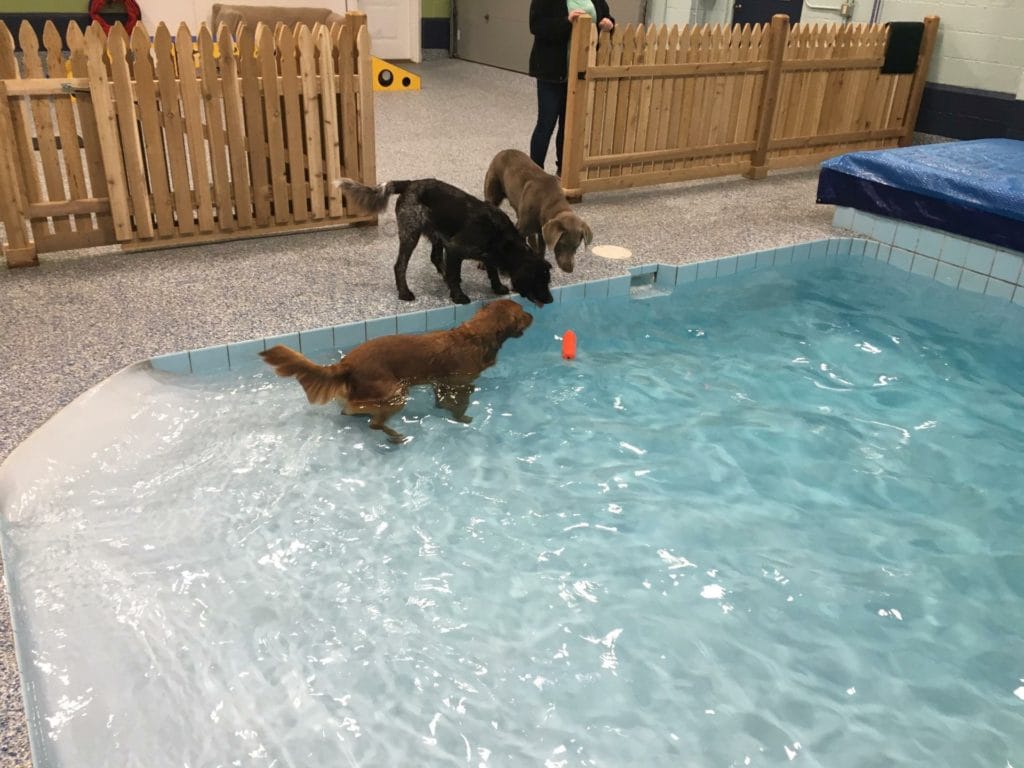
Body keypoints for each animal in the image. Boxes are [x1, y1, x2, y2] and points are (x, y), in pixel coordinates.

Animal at [258, 301, 536, 444]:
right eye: (523, 314)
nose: (533, 314)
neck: (474, 336)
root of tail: (346, 364)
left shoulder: (440, 383)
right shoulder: (459, 384)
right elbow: (459, 406)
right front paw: (463, 419)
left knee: (353, 411)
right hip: (396, 394)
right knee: (371, 420)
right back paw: (394, 435)